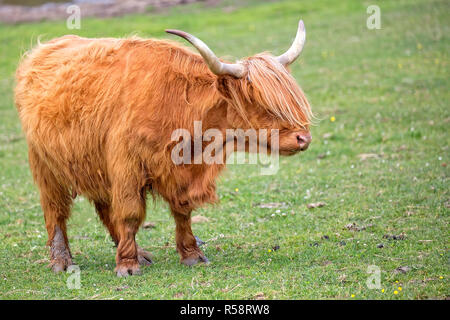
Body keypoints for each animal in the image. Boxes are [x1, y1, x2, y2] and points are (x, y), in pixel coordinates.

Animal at [13, 20, 310, 276]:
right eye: (257, 100)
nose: (303, 138)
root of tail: (44, 48)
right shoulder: (126, 166)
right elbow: (130, 213)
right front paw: (127, 266)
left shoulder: (178, 171)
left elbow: (182, 211)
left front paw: (191, 255)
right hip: (44, 164)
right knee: (55, 210)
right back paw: (62, 260)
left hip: (93, 162)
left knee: (104, 208)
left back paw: (137, 251)